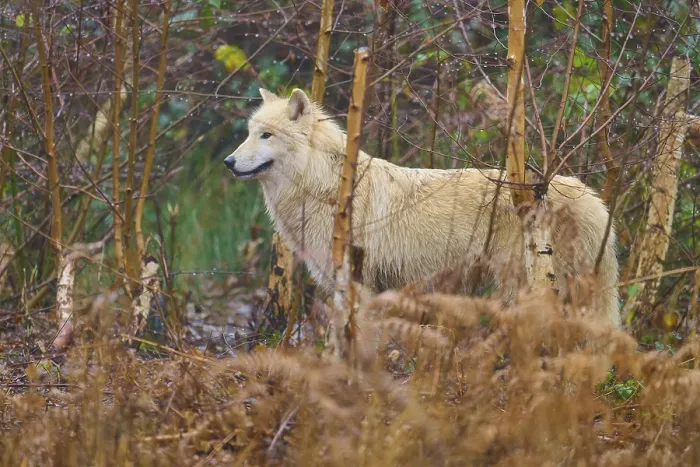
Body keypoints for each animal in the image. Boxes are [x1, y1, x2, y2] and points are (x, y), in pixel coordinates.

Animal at [224, 88, 620, 327]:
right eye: (249, 133)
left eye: (266, 135)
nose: (228, 162)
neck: (325, 188)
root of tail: (588, 195)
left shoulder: (359, 285)